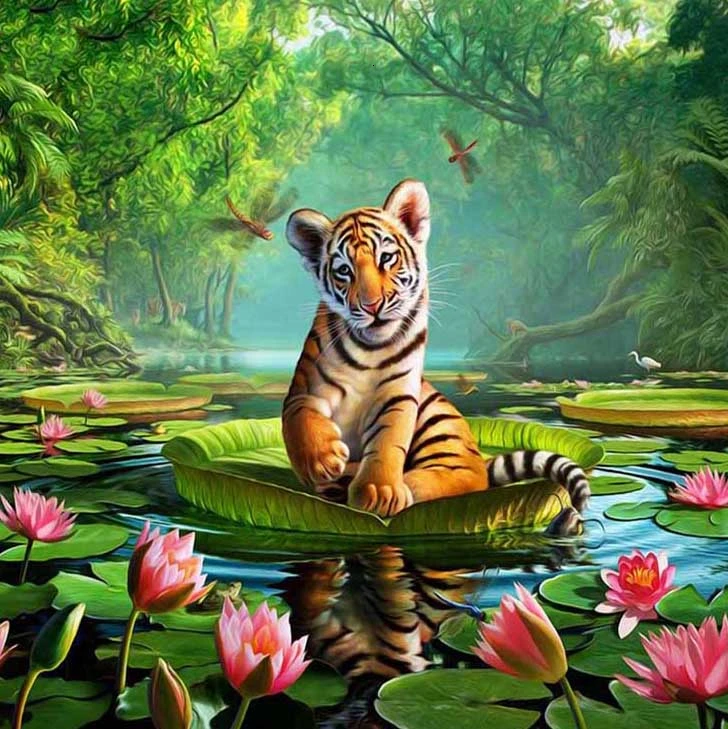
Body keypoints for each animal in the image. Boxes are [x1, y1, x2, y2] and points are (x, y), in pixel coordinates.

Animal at [283, 179, 590, 528]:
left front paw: (379, 492)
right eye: (344, 270)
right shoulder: (304, 389)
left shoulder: (398, 395)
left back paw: (401, 485)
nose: (372, 306)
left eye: (386, 258)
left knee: (467, 479)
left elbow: (388, 440)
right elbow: (300, 418)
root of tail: (481, 457)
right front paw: (322, 461)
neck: (370, 349)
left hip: (439, 422)